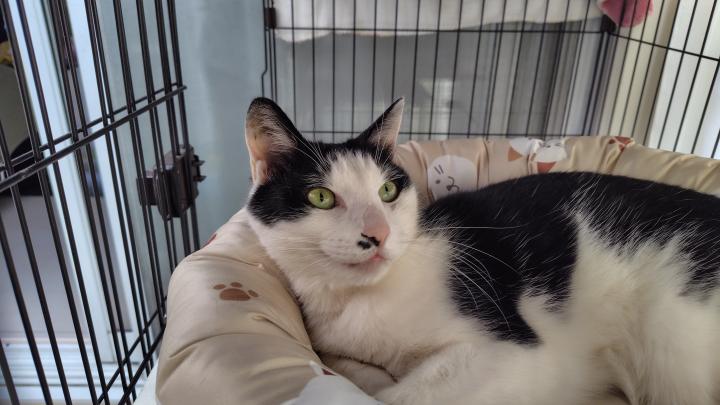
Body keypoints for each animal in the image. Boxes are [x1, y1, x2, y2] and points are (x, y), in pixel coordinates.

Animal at [244, 97, 720, 405]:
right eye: (321, 197)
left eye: (387, 191)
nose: (377, 233)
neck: (361, 302)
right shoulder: (336, 346)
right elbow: (355, 372)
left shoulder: (516, 352)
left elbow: (397, 397)